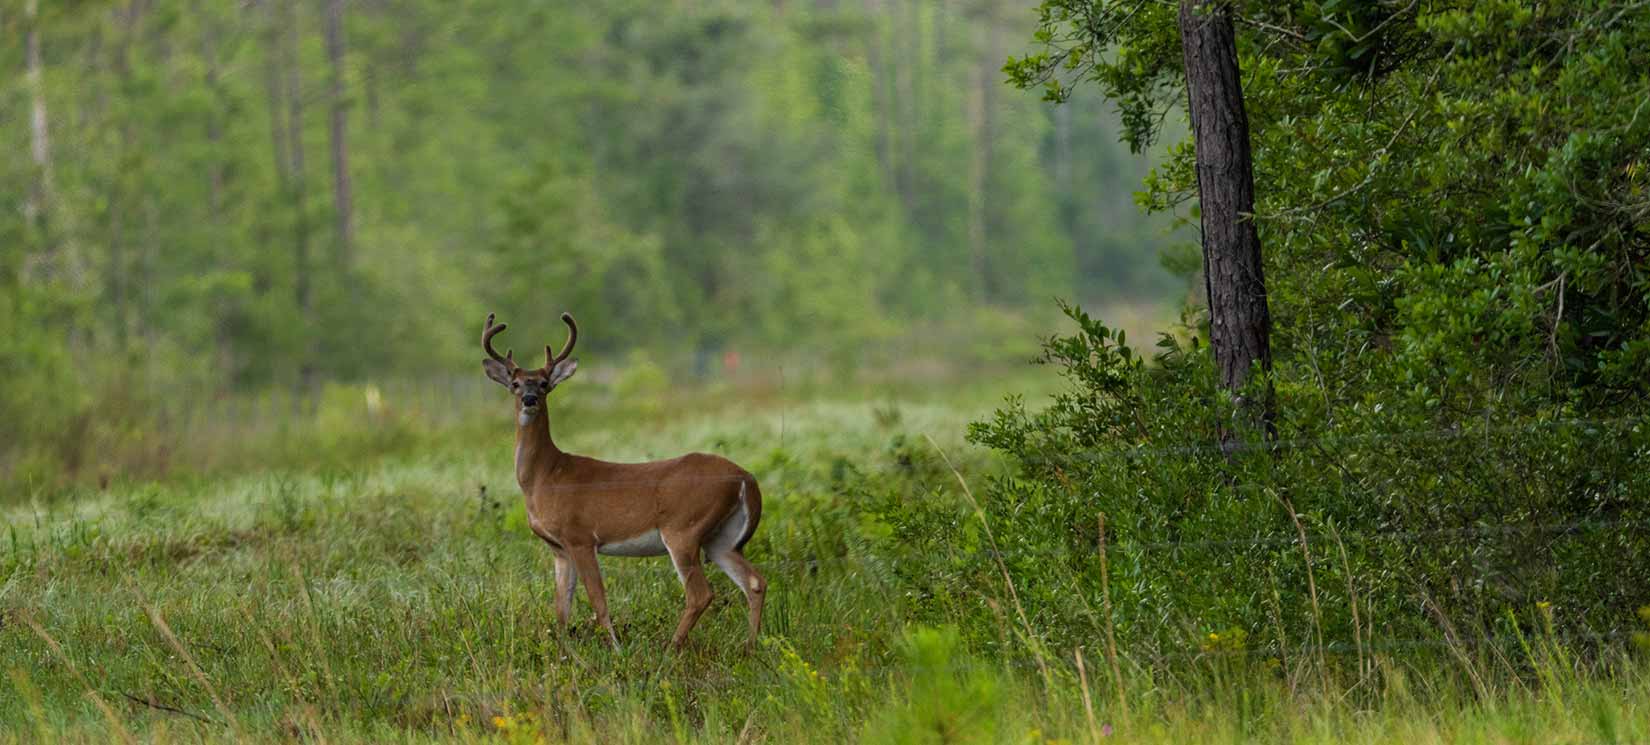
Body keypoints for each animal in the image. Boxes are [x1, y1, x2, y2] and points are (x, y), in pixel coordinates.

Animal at [475, 311, 762, 649]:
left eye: (545, 383)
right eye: (515, 384)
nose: (530, 399)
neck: (546, 476)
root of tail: (746, 478)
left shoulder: (580, 537)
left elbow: (598, 601)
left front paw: (615, 649)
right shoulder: (559, 548)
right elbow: (561, 609)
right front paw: (563, 653)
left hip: (683, 529)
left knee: (701, 594)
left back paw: (670, 649)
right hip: (721, 538)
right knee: (754, 581)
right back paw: (750, 647)